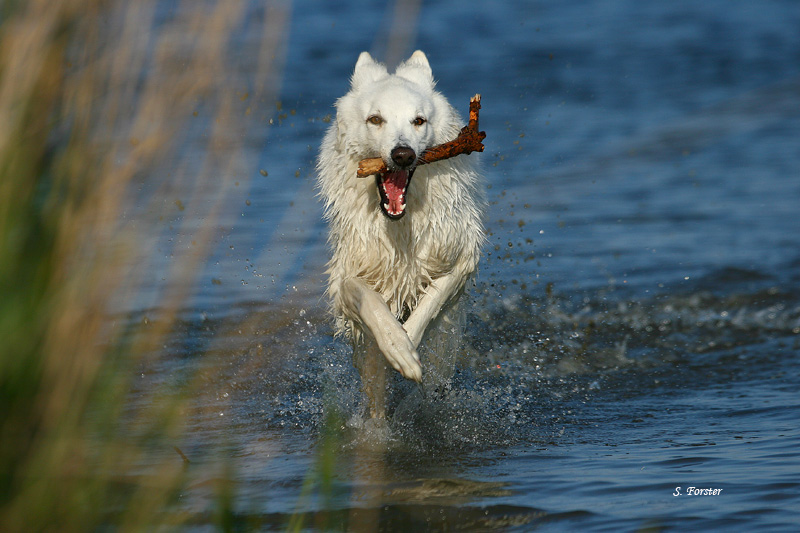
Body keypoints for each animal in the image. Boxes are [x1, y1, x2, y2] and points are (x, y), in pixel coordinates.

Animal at [316, 50, 484, 418]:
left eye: (418, 121)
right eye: (375, 120)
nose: (403, 154)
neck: (399, 228)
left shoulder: (462, 258)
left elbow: (432, 299)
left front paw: (408, 343)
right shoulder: (346, 278)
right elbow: (367, 300)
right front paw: (397, 345)